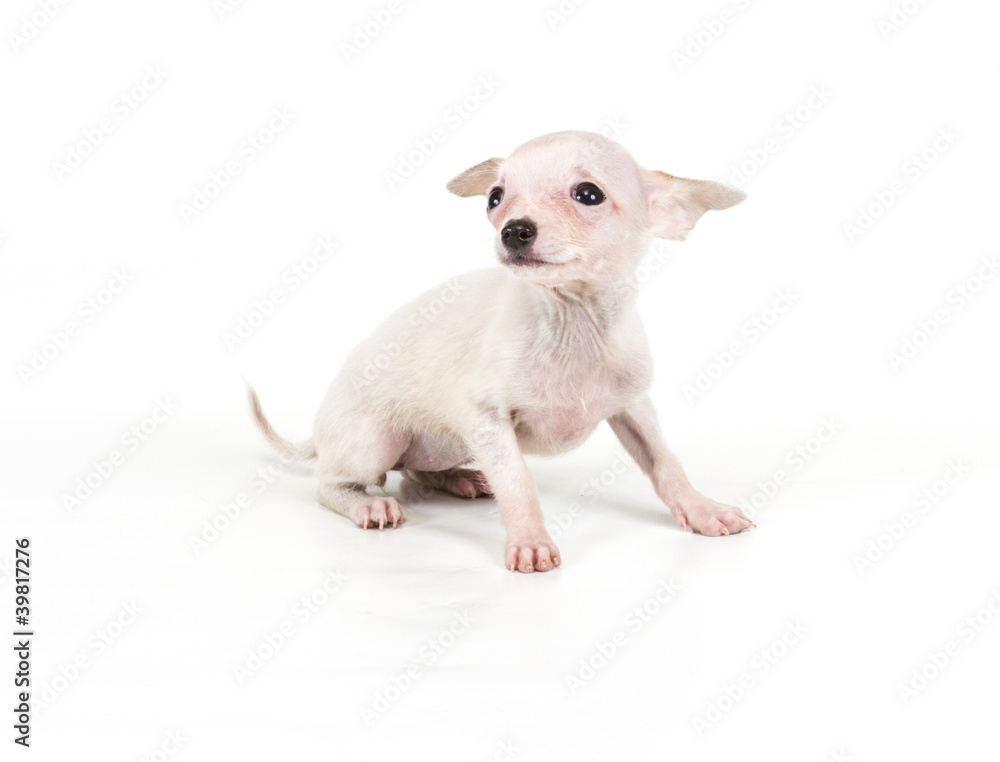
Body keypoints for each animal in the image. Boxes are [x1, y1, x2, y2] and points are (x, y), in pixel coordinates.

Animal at [246, 129, 752, 568]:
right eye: (495, 198)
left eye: (588, 194)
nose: (513, 229)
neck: (571, 321)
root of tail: (319, 434)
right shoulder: (486, 420)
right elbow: (517, 482)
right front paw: (530, 540)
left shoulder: (633, 406)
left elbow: (666, 463)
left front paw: (702, 509)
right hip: (375, 441)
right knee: (330, 485)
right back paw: (367, 506)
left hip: (440, 443)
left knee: (414, 470)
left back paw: (458, 478)